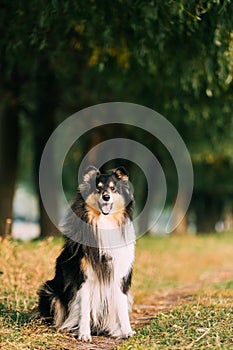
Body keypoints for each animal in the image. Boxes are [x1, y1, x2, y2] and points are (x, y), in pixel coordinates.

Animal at [38, 165, 136, 340]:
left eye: (113, 188)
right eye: (98, 188)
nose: (106, 197)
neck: (105, 222)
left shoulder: (119, 275)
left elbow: (122, 306)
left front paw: (126, 331)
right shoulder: (83, 278)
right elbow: (83, 309)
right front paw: (84, 334)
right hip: (50, 292)